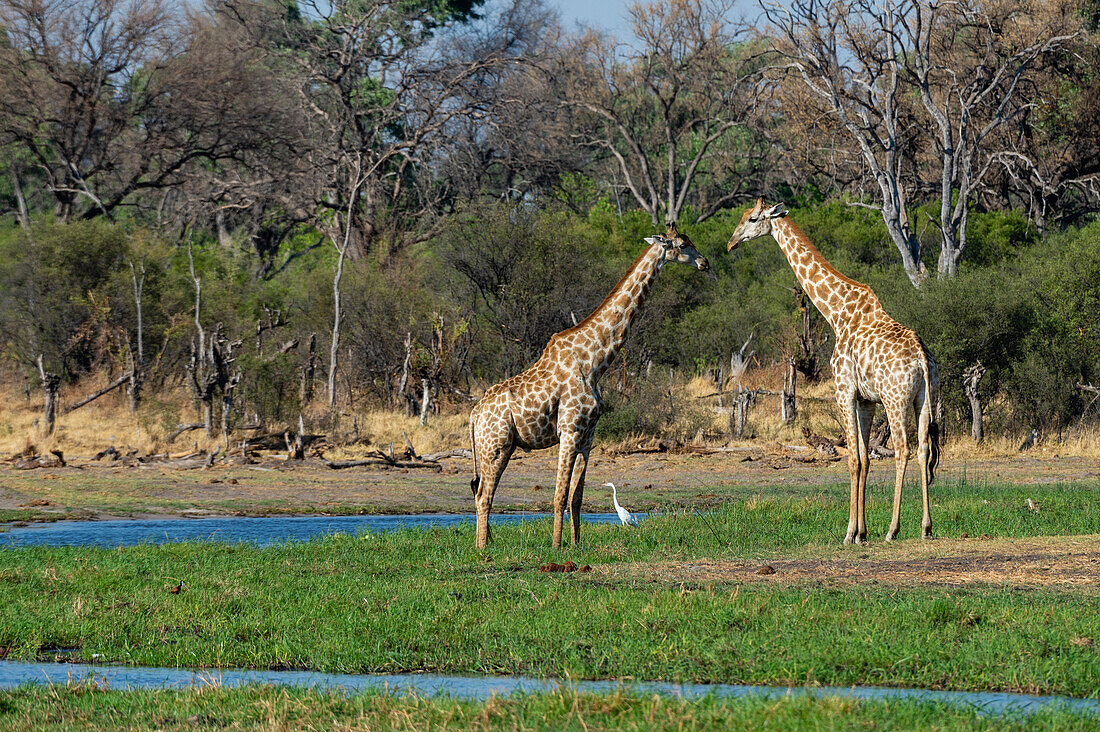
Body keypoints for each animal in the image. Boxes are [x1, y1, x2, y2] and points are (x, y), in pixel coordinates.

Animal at [466, 222, 708, 548]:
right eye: (683, 244)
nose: (705, 263)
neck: (594, 361)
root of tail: (474, 415)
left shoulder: (588, 434)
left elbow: (576, 497)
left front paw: (576, 543)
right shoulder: (568, 430)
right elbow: (558, 495)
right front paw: (556, 547)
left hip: (496, 447)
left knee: (481, 493)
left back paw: (487, 542)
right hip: (496, 445)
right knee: (483, 495)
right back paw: (481, 549)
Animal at [730, 200, 937, 541]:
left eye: (753, 218)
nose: (732, 242)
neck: (837, 313)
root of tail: (922, 357)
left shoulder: (844, 392)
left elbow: (853, 458)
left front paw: (850, 533)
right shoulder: (866, 400)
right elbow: (865, 458)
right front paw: (862, 532)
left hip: (895, 400)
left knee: (902, 449)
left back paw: (893, 529)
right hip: (925, 398)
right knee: (922, 450)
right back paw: (926, 527)